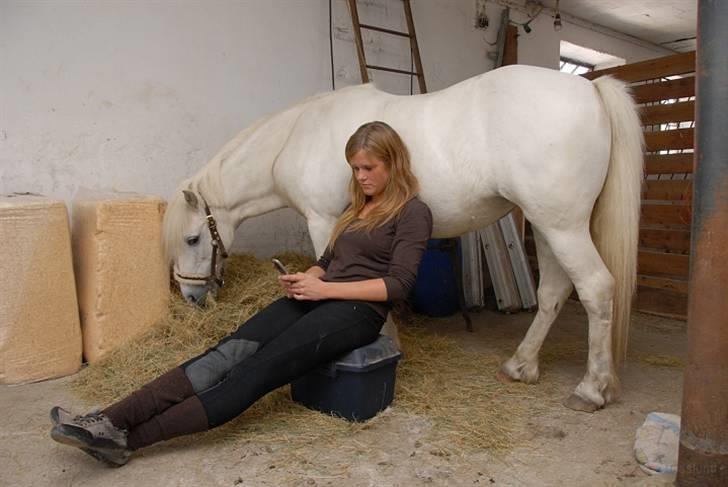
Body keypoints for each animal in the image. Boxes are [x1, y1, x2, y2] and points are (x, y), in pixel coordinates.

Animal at [164, 65, 644, 414]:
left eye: (192, 238)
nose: (191, 297)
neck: (298, 136)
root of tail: (589, 89)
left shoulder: (324, 222)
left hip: (564, 228)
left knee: (597, 290)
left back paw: (591, 389)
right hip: (549, 226)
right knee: (553, 292)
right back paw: (521, 366)